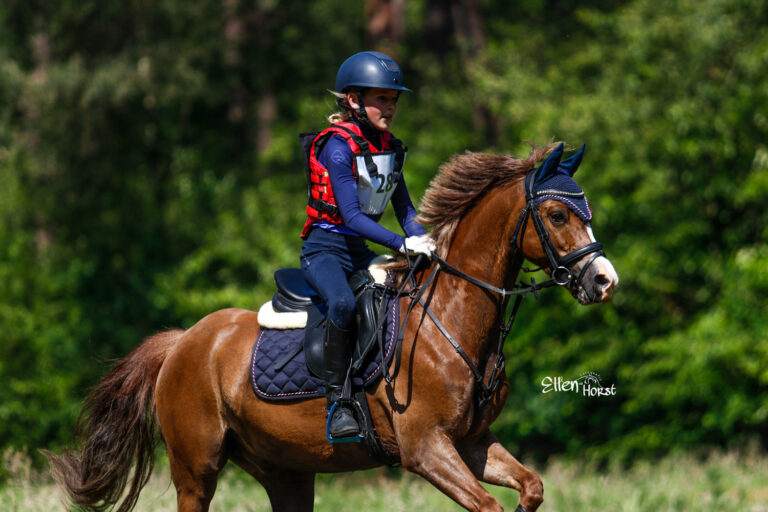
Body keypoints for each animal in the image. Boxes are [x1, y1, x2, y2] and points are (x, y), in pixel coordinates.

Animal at [48, 142, 616, 510]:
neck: (452, 321)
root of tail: (183, 342)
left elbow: (531, 487)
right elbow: (488, 506)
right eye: (559, 215)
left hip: (286, 472)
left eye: (587, 210)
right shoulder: (426, 449)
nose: (604, 280)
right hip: (196, 471)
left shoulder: (472, 443)